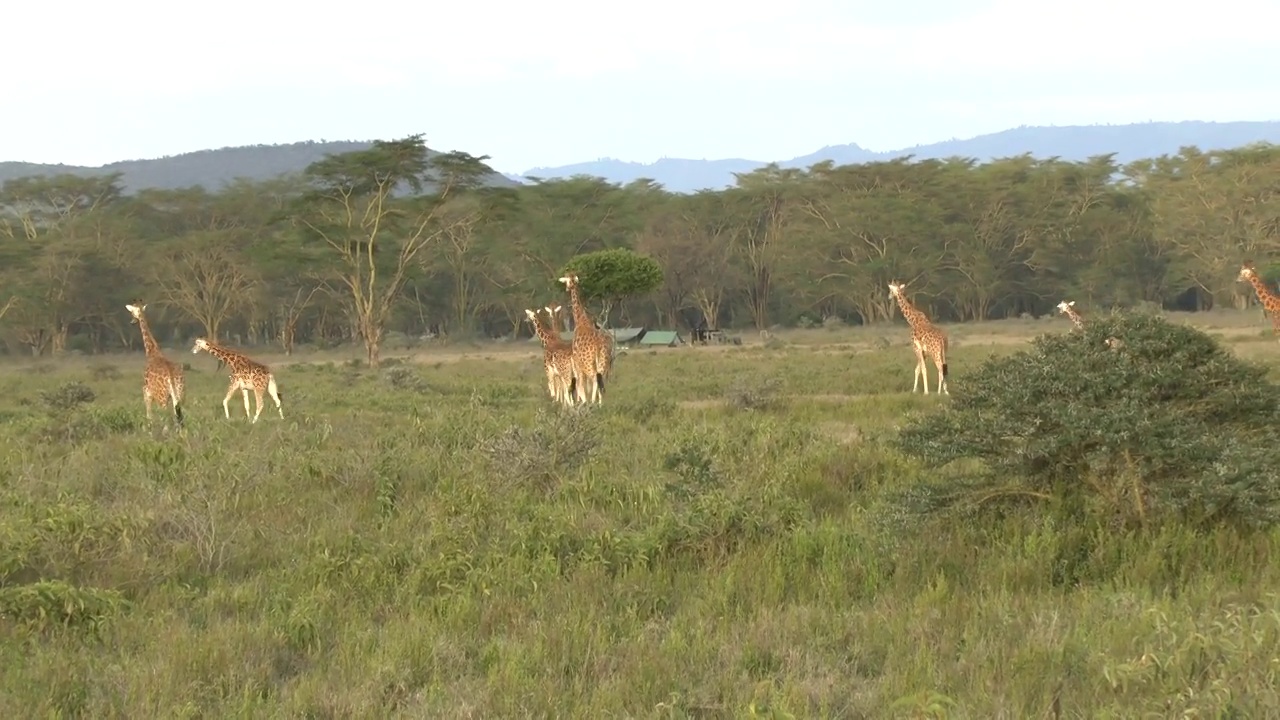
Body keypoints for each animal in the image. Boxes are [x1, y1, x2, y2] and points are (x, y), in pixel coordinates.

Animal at [560, 271, 614, 404]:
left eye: (566, 281)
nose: (567, 288)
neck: (580, 319)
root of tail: (599, 345)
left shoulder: (578, 362)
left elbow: (581, 385)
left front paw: (585, 401)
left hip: (588, 363)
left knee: (594, 379)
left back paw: (593, 403)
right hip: (603, 361)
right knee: (600, 379)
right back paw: (600, 403)